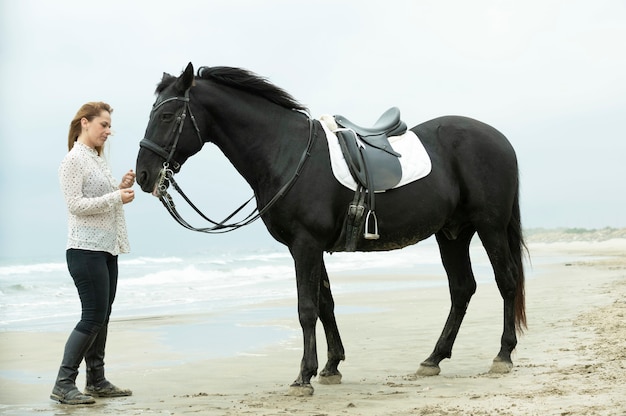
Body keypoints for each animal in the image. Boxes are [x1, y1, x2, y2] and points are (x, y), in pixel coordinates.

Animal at [134, 62, 524, 396]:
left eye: (166, 115)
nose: (143, 175)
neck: (288, 152)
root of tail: (499, 139)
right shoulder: (310, 247)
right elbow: (326, 304)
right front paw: (331, 366)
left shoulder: (305, 245)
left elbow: (306, 308)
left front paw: (303, 376)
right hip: (452, 233)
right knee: (462, 289)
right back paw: (433, 359)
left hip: (489, 226)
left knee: (506, 281)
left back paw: (503, 355)